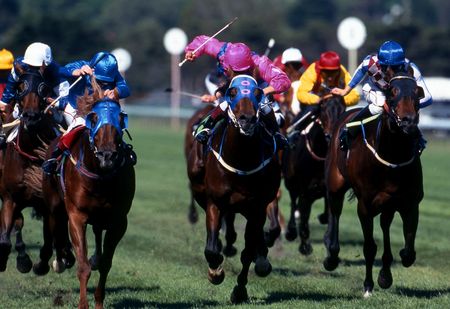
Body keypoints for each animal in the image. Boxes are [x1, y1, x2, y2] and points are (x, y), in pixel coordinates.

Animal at [0, 65, 74, 274]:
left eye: (43, 88)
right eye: (20, 86)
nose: (31, 116)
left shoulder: (47, 203)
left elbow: (51, 239)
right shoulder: (9, 198)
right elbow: (6, 237)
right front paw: (21, 260)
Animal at [43, 85, 136, 308]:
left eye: (121, 118)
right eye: (93, 118)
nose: (107, 155)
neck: (100, 178)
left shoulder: (119, 220)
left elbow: (106, 264)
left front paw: (99, 301)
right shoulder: (77, 216)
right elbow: (83, 265)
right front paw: (83, 304)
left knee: (97, 232)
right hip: (54, 204)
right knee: (55, 224)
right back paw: (60, 260)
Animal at [187, 75, 282, 304]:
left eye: (257, 93)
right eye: (232, 92)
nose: (246, 119)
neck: (241, 160)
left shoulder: (257, 208)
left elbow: (247, 252)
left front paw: (239, 290)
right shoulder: (215, 203)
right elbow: (211, 249)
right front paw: (216, 272)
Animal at [284, 95, 346, 254]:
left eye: (343, 109)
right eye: (323, 108)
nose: (331, 136)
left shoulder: (329, 188)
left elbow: (330, 214)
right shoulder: (305, 190)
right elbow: (304, 214)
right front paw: (305, 246)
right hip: (291, 181)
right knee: (293, 200)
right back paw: (291, 231)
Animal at [322, 72, 424, 296]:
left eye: (416, 92)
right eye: (392, 91)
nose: (408, 121)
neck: (392, 156)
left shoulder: (409, 202)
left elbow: (409, 251)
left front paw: (385, 275)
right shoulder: (365, 206)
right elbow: (369, 247)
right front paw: (368, 285)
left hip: (387, 205)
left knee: (385, 225)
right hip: (335, 183)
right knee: (335, 211)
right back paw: (331, 255)